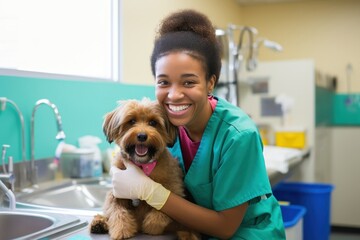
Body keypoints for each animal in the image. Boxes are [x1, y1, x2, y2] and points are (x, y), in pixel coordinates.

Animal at [89, 98, 198, 240]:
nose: (142, 136)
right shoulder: (115, 192)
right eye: (131, 121)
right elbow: (117, 211)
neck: (141, 166)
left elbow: (162, 211)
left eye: (153, 122)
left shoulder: (175, 189)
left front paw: (152, 225)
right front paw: (122, 230)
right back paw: (99, 223)